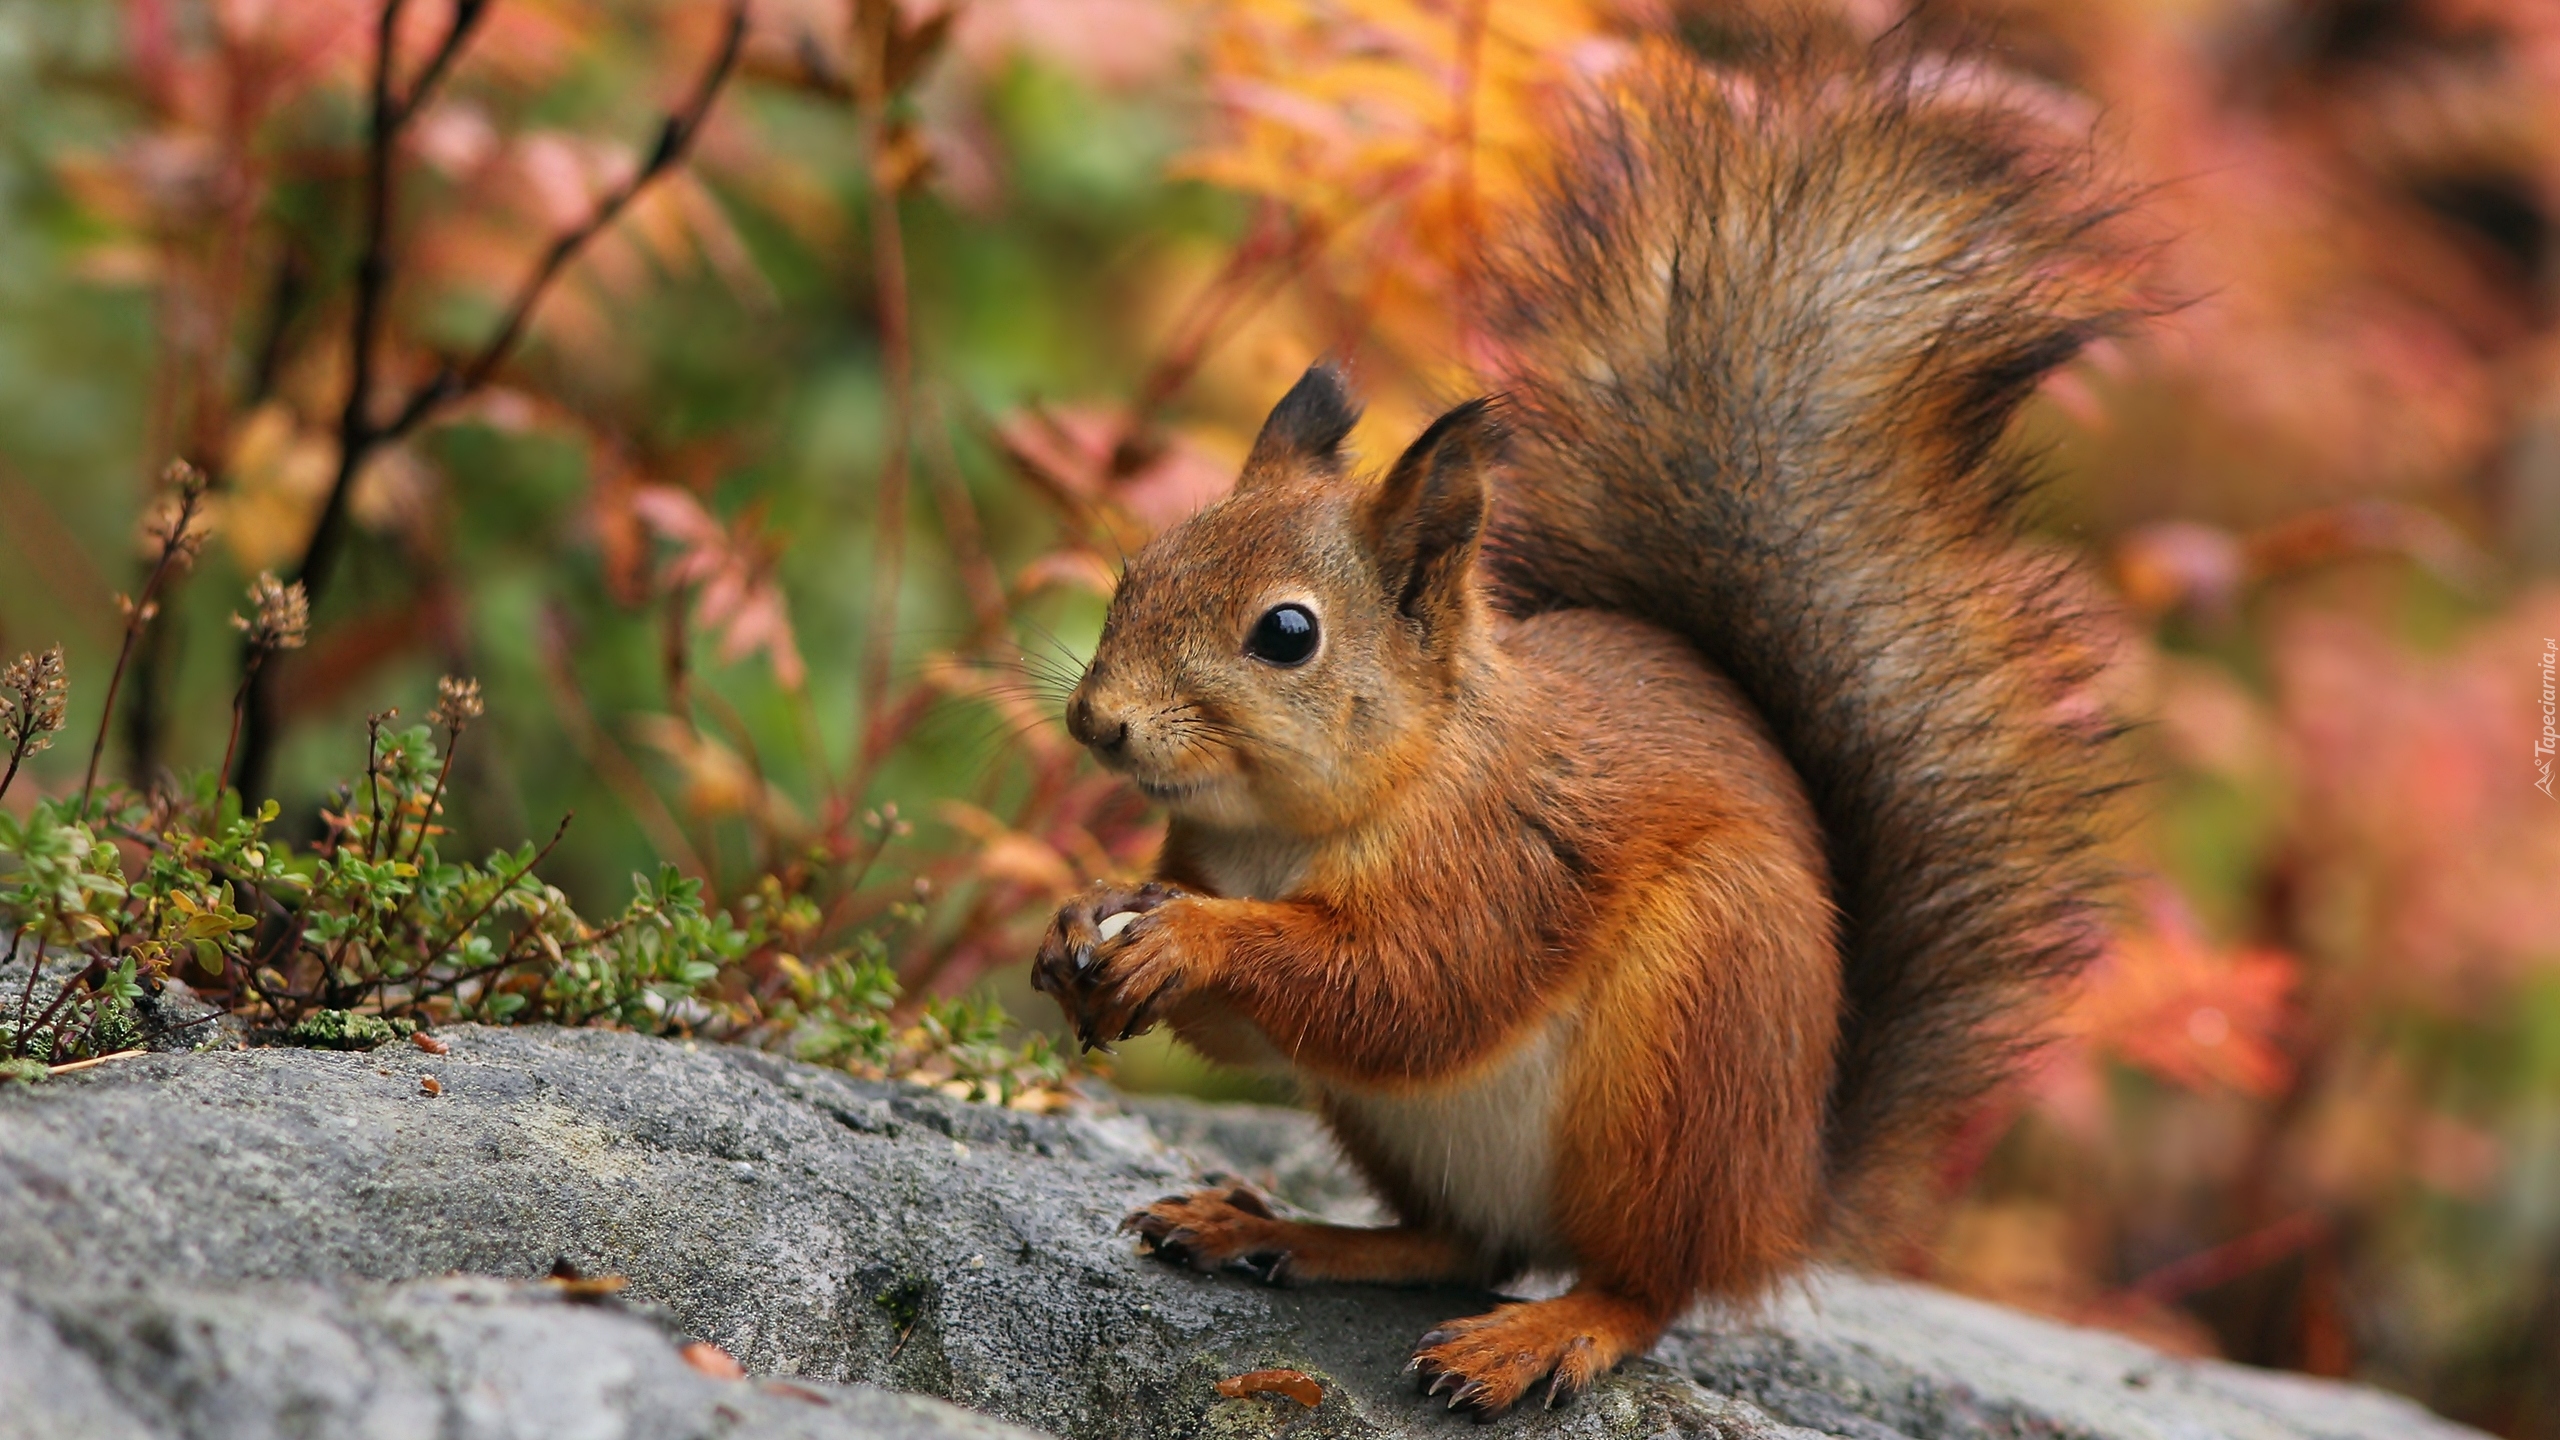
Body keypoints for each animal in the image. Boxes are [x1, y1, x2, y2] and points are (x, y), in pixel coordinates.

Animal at [1029, 30, 2129, 1414]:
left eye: (1286, 633)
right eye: (1141, 566)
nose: (1096, 722)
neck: (1294, 826)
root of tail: (1777, 1206)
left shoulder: (1505, 861)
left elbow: (1405, 989)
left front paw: (1191, 937)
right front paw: (1082, 916)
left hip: (1686, 1048)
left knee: (1642, 1284)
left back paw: (1541, 1335)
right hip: (1403, 1127)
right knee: (1461, 1242)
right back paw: (1277, 1231)